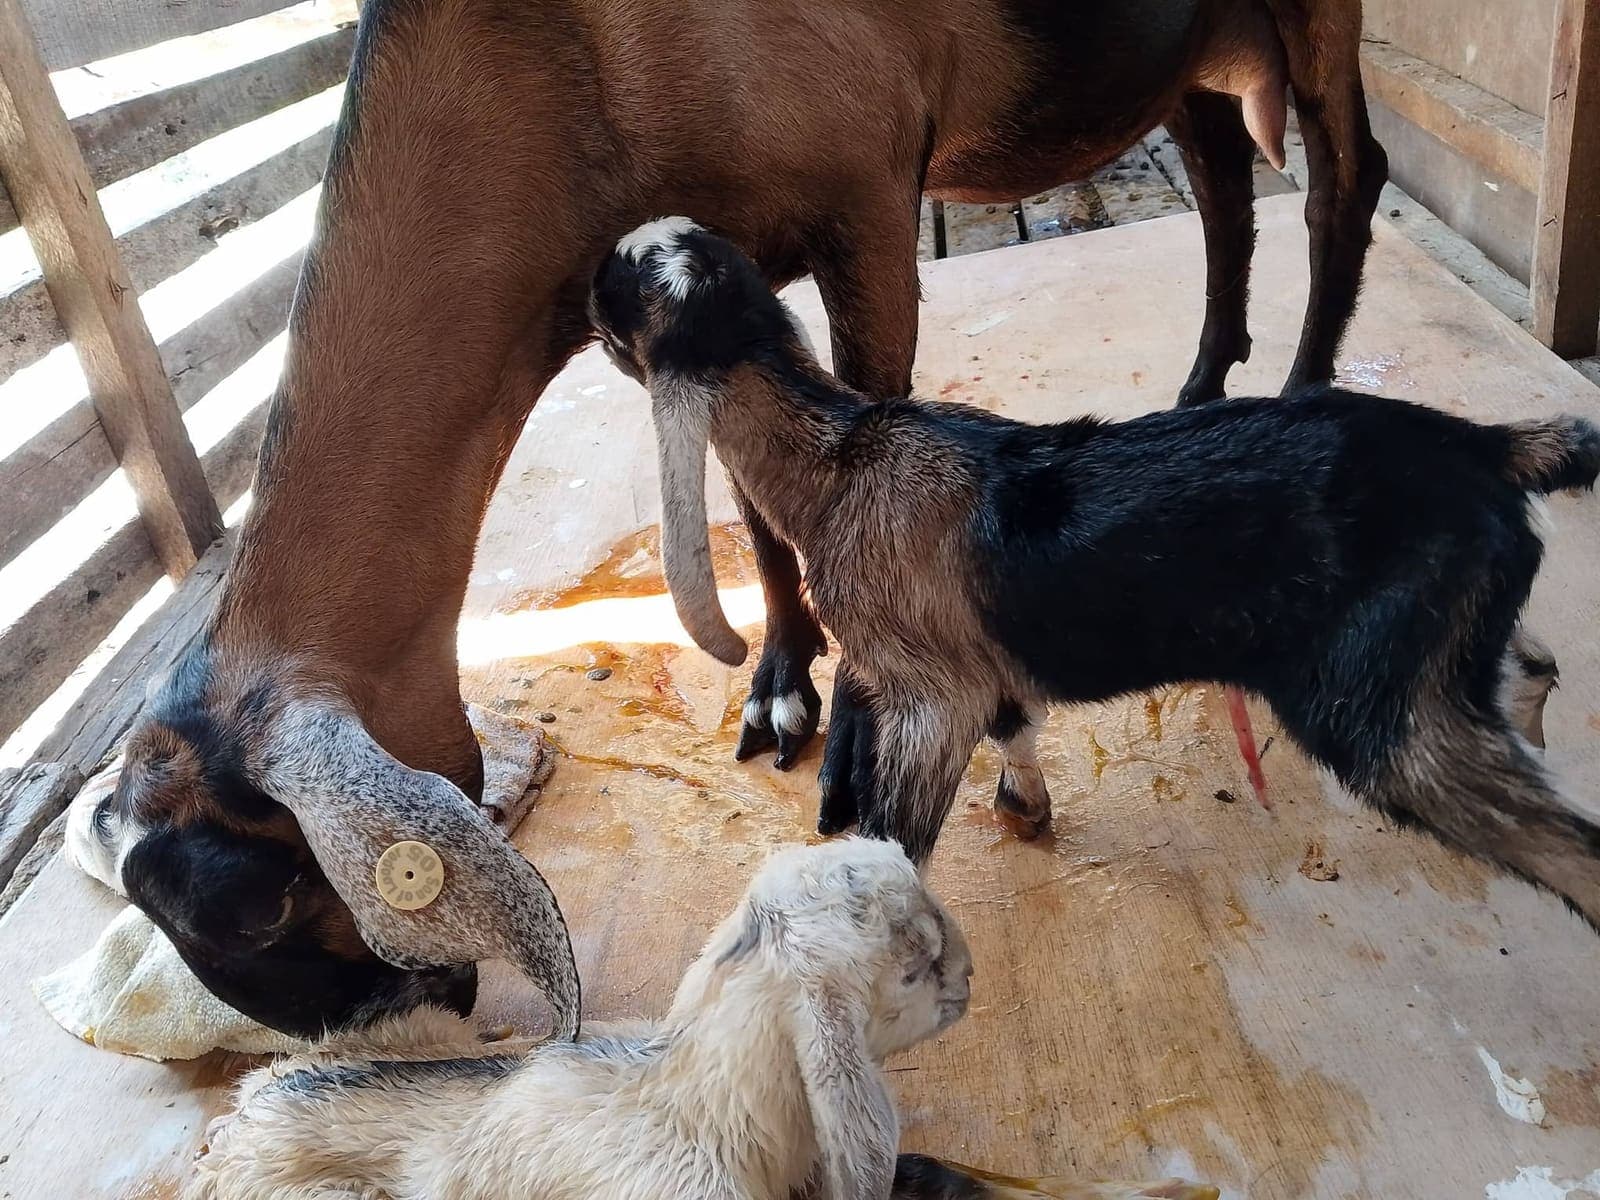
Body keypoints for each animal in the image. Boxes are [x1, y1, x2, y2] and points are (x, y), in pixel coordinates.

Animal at [100, 0, 1384, 1035]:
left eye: (271, 904)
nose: (374, 1018)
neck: (563, 58)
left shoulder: (868, 197)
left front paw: (856, 719)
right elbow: (747, 488)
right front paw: (779, 688)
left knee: (1342, 177)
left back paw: (1304, 395)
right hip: (1187, 60)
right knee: (1223, 175)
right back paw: (1203, 388)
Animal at [590, 219, 1600, 935]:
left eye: (621, 289)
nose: (581, 289)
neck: (840, 460)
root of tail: (1487, 447)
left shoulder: (926, 696)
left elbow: (892, 843)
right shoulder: (987, 671)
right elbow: (1017, 727)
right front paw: (1026, 812)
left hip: (1381, 709)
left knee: (1564, 847)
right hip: (1441, 637)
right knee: (1531, 670)